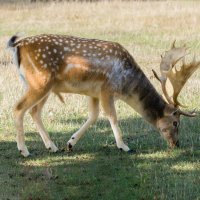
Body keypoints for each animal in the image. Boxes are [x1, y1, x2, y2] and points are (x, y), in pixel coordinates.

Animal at [7, 33, 198, 157]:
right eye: (176, 122)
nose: (176, 144)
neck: (127, 84)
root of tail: (17, 46)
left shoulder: (94, 93)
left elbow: (93, 116)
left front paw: (70, 143)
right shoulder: (107, 89)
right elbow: (112, 116)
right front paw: (124, 146)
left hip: (42, 86)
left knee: (34, 111)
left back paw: (51, 147)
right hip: (40, 81)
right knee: (18, 108)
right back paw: (24, 150)